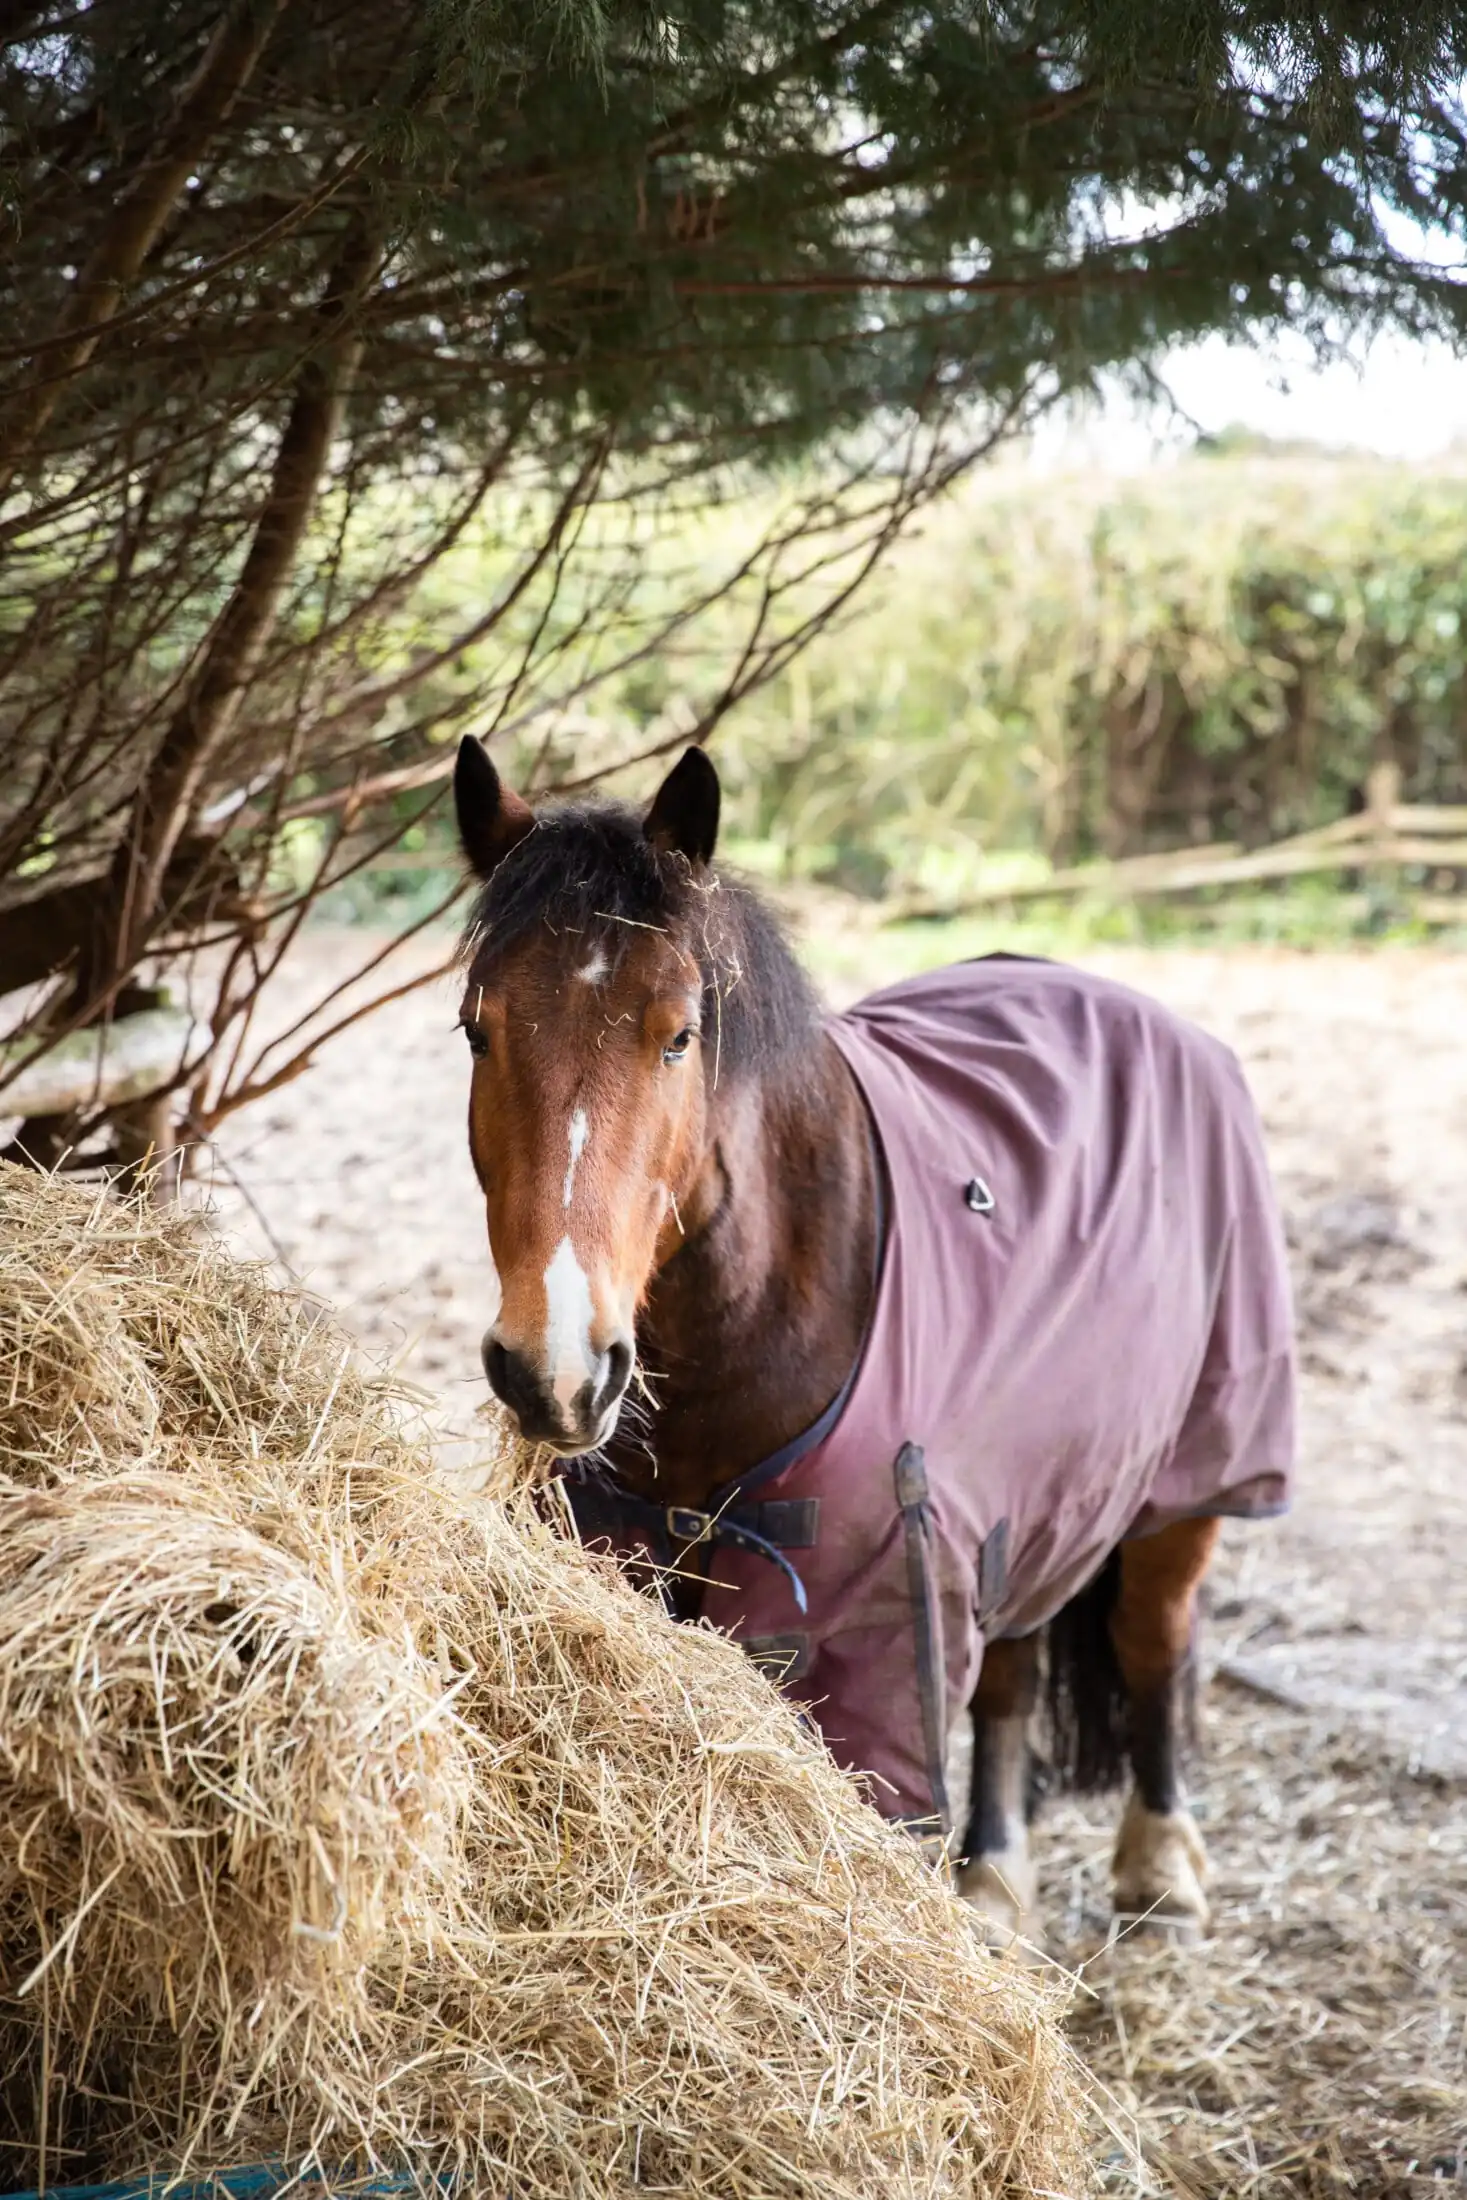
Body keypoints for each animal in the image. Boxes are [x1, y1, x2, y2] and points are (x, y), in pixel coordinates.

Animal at [452, 736, 1296, 1944]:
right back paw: (996, 1878)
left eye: (679, 1035)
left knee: (1153, 1635)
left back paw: (1159, 1864)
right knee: (1015, 1661)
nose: (555, 1370)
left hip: (1183, 1485)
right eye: (478, 1028)